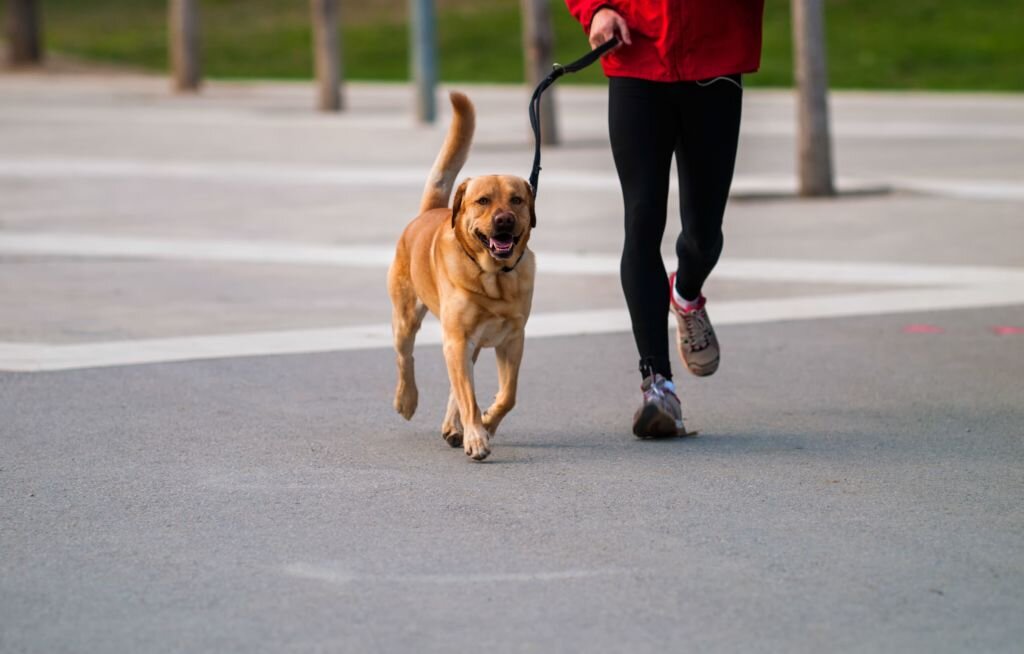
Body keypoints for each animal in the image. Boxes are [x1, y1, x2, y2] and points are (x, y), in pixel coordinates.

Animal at [387, 92, 536, 462]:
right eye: (482, 200)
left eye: (516, 199)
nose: (504, 220)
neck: (493, 278)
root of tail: (428, 211)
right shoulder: (457, 338)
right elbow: (468, 395)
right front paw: (477, 437)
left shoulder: (513, 339)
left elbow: (507, 395)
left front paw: (487, 423)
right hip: (407, 319)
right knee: (405, 358)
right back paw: (407, 400)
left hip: (469, 343)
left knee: (458, 385)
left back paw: (456, 427)